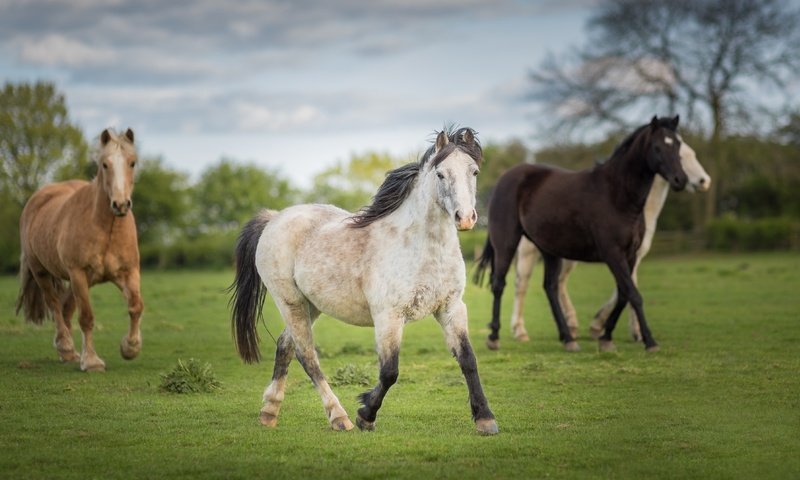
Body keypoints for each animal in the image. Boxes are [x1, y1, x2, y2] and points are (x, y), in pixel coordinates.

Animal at [16, 127, 143, 372]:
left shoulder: (129, 272)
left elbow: (135, 306)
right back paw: (65, 347)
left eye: (132, 162)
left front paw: (130, 348)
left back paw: (70, 353)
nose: (121, 204)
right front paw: (92, 361)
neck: (107, 229)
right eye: (105, 164)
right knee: (55, 305)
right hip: (44, 273)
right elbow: (86, 318)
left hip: (82, 281)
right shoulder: (78, 273)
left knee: (65, 307)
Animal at [476, 114, 688, 350]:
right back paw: (494, 337)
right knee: (499, 284)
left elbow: (624, 295)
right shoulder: (613, 254)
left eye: (678, 144)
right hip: (506, 244)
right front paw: (649, 341)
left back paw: (568, 338)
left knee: (550, 288)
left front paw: (606, 337)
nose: (681, 180)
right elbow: (633, 294)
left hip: (549, 250)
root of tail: (504, 179)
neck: (617, 195)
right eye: (658, 147)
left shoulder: (630, 255)